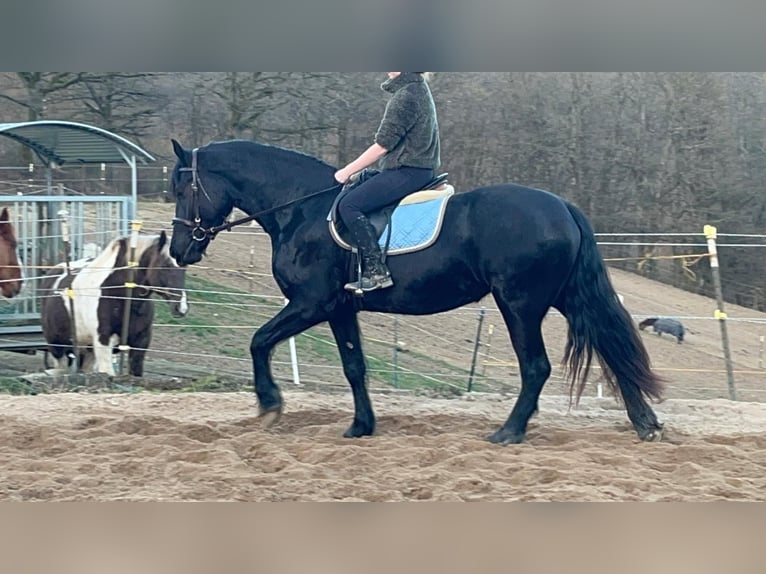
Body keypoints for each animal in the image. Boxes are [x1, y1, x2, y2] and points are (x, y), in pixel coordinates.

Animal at [40, 231, 189, 377]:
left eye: (185, 268)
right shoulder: (103, 343)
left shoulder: (140, 344)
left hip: (87, 350)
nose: (181, 308)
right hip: (58, 347)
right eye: (166, 265)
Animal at [168, 139, 664, 444]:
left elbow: (258, 341)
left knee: (537, 367)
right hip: (566, 299)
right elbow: (354, 367)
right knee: (610, 348)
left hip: (520, 305)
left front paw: (270, 406)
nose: (178, 250)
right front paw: (361, 426)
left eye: (182, 188)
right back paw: (646, 425)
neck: (301, 210)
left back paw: (509, 432)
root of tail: (562, 205)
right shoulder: (340, 308)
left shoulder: (312, 303)